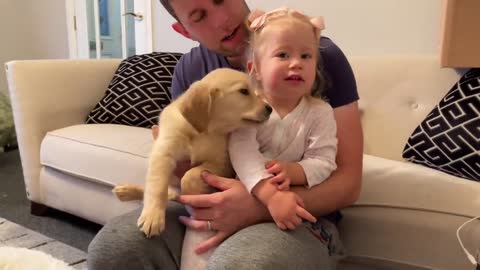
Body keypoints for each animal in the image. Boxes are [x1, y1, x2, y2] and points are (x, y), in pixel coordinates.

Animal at [112, 68, 270, 237]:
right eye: (244, 91)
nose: (270, 108)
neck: (204, 131)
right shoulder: (163, 152)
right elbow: (157, 186)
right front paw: (153, 216)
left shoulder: (222, 162)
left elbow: (189, 176)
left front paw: (197, 196)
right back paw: (127, 190)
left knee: (174, 193)